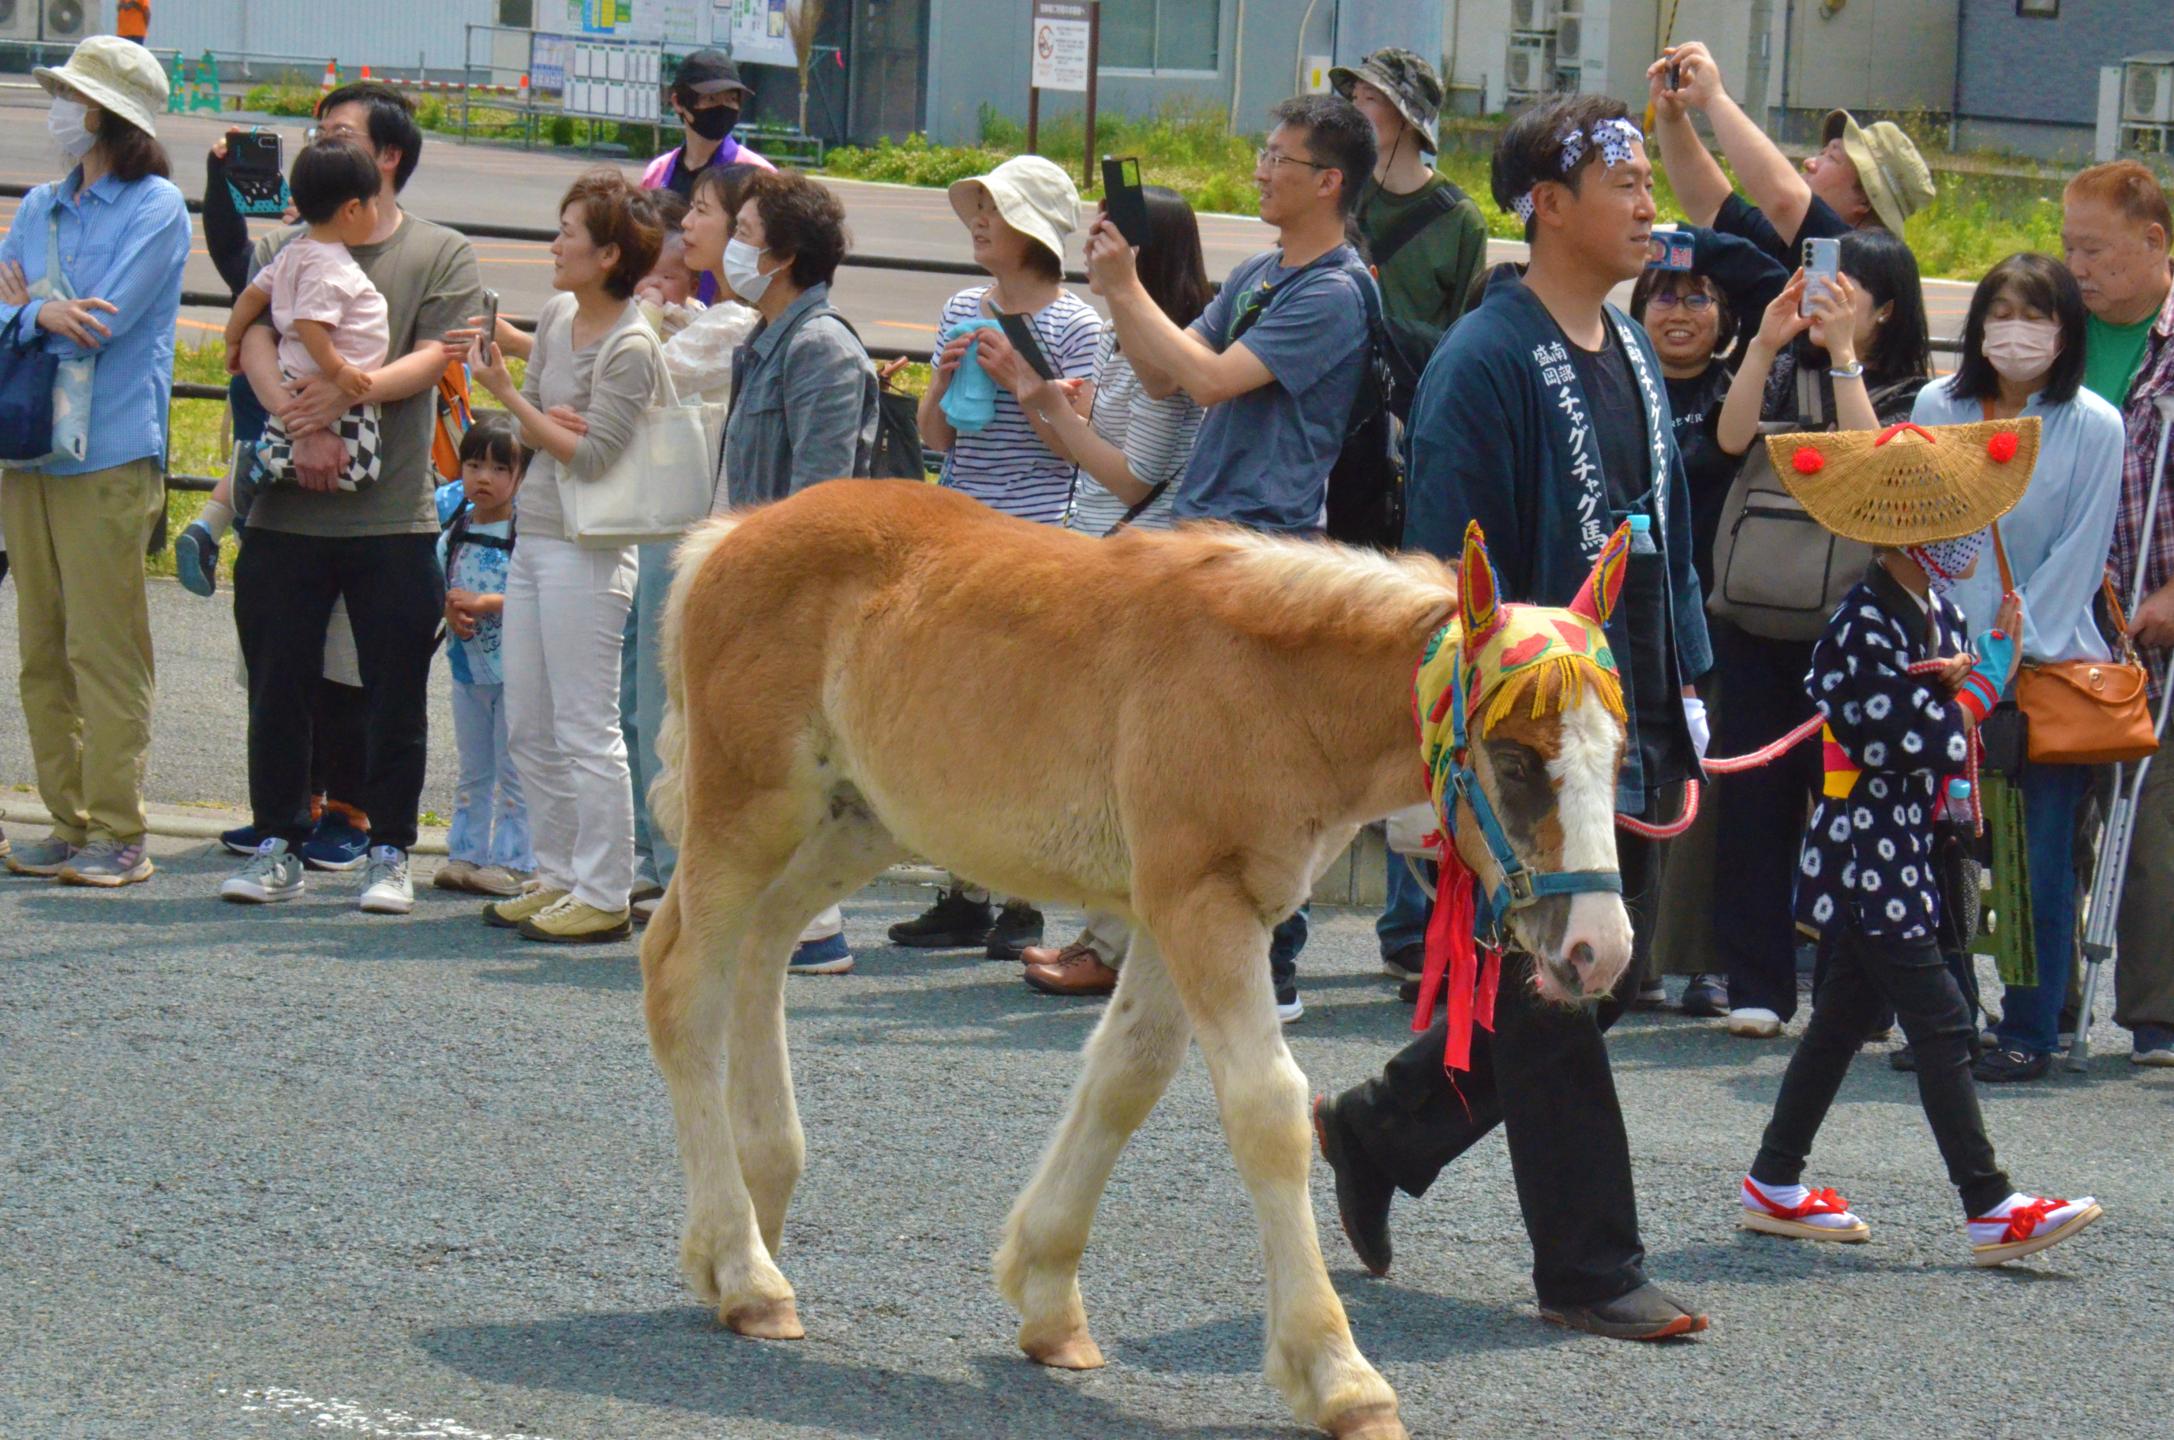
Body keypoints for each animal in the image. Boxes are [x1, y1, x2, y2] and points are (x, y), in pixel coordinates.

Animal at [638, 480, 1636, 1440]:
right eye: (1514, 759)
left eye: (1619, 758)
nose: (1601, 949)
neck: (1272, 690)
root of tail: (728, 534)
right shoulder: (1201, 902)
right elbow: (1267, 1111)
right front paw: (1339, 1377)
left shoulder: (1182, 912)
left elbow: (1128, 1076)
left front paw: (1048, 1302)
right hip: (746, 809)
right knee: (684, 975)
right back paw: (743, 1270)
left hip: (857, 820)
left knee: (765, 945)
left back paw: (759, 1213)